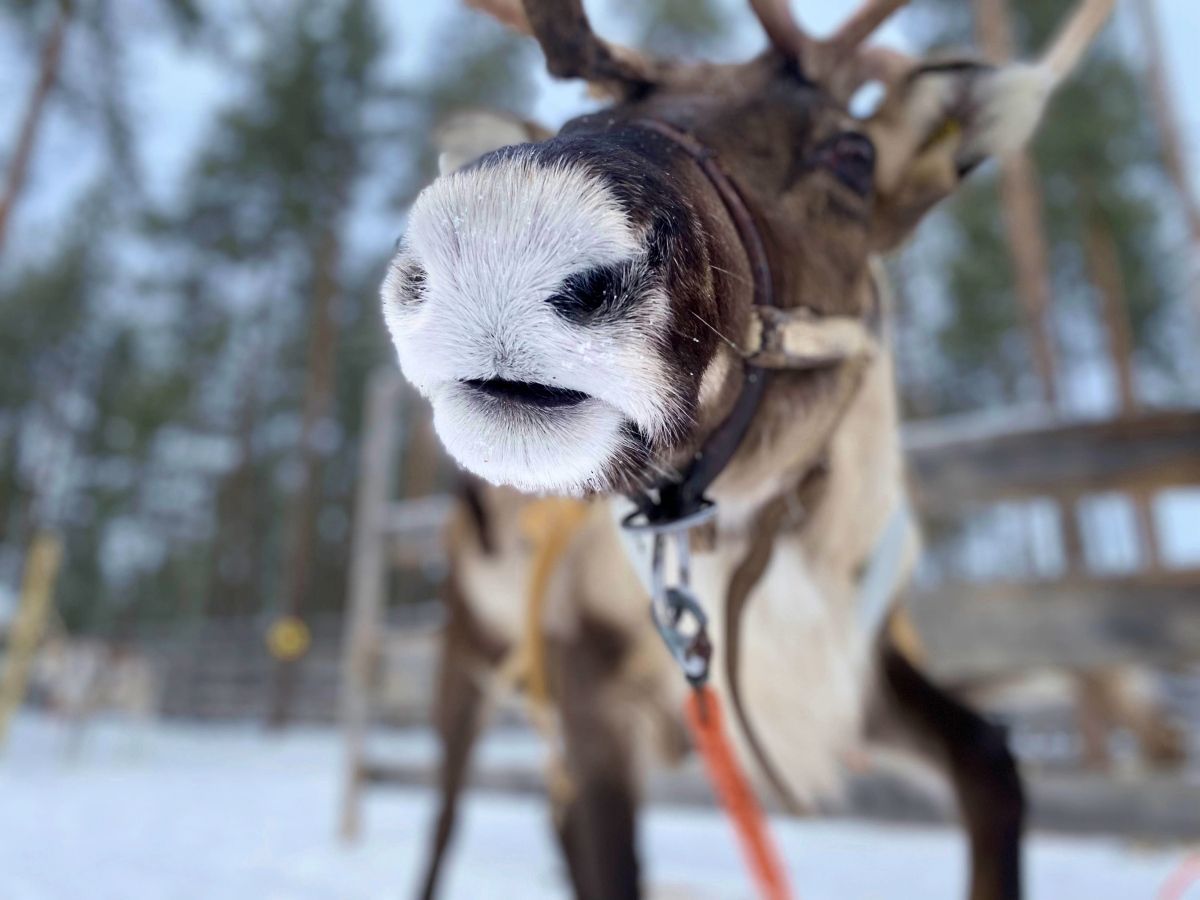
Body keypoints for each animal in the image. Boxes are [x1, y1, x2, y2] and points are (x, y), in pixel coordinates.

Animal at [380, 1, 1116, 898]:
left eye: (854, 154)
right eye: (569, 122)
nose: (504, 230)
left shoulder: (845, 678)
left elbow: (990, 761)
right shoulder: (592, 691)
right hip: (465, 658)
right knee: (445, 821)